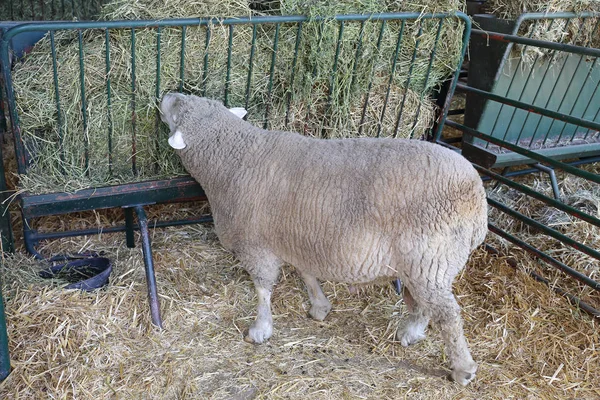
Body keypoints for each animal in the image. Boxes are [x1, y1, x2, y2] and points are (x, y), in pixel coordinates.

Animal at [158, 92, 488, 386]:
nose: (166, 94)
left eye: (176, 112)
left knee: (448, 315)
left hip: (430, 259)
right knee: (425, 304)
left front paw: (261, 329)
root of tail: (478, 196)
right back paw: (411, 332)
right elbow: (305, 272)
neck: (235, 158)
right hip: (421, 265)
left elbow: (263, 289)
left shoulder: (256, 245)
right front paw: (319, 306)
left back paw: (462, 369)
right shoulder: (296, 236)